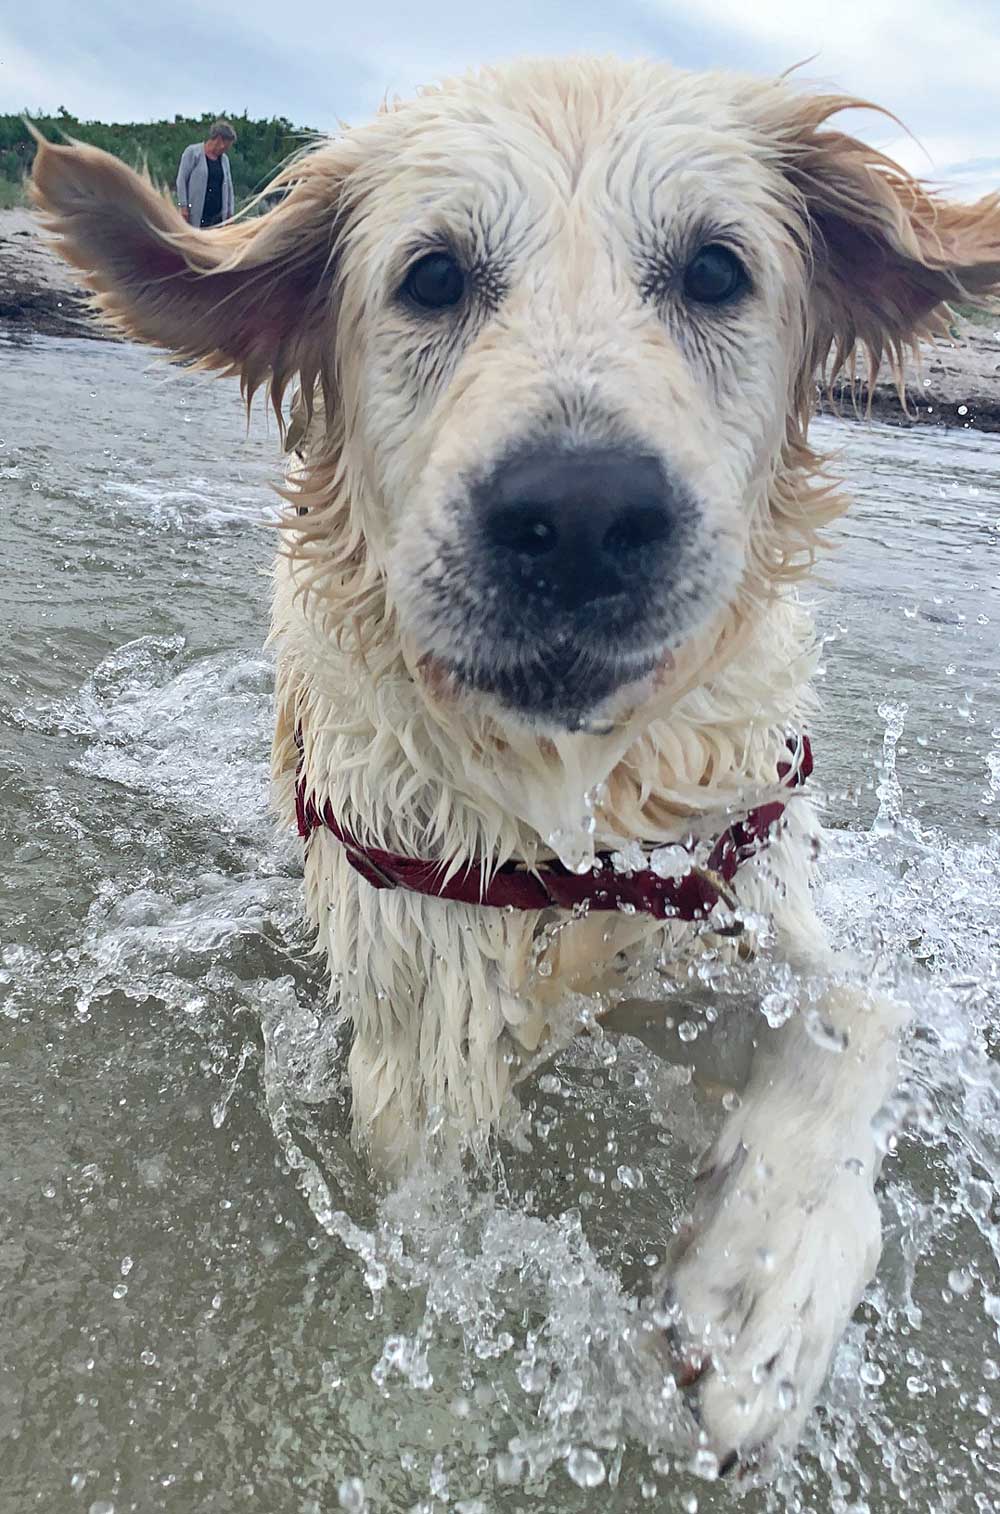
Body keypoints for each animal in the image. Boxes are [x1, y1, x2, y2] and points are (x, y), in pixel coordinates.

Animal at [31, 59, 998, 1465]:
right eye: (432, 276)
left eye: (715, 270)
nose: (582, 516)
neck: (571, 804)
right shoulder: (423, 1013)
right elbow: (435, 1240)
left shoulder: (710, 898)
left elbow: (854, 1012)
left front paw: (761, 1292)